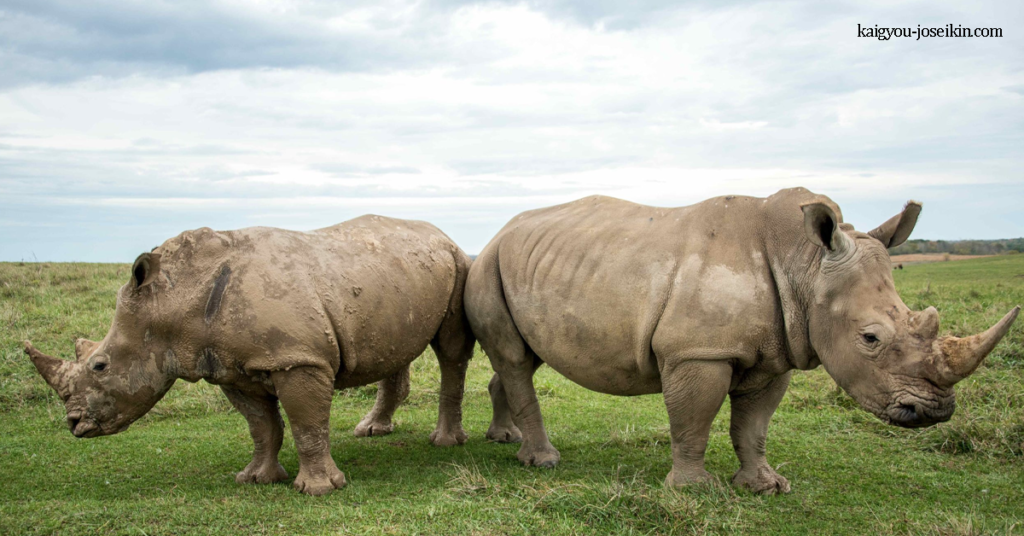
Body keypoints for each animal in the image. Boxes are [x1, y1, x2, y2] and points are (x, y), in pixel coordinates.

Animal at [24, 216, 475, 495]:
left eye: (100, 366)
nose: (75, 424)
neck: (174, 300)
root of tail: (439, 233)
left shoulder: (297, 357)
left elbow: (307, 424)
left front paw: (318, 490)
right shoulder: (228, 368)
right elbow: (261, 426)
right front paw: (256, 479)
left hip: (457, 263)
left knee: (450, 351)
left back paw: (444, 443)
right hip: (397, 276)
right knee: (395, 348)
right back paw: (371, 430)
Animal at [464, 188, 1019, 494]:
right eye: (869, 338)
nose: (935, 411)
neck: (805, 263)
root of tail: (497, 232)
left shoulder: (777, 354)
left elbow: (753, 425)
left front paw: (766, 487)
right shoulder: (698, 352)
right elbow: (694, 420)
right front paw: (694, 490)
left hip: (525, 266)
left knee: (524, 358)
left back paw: (505, 439)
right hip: (487, 265)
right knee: (515, 360)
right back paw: (543, 461)